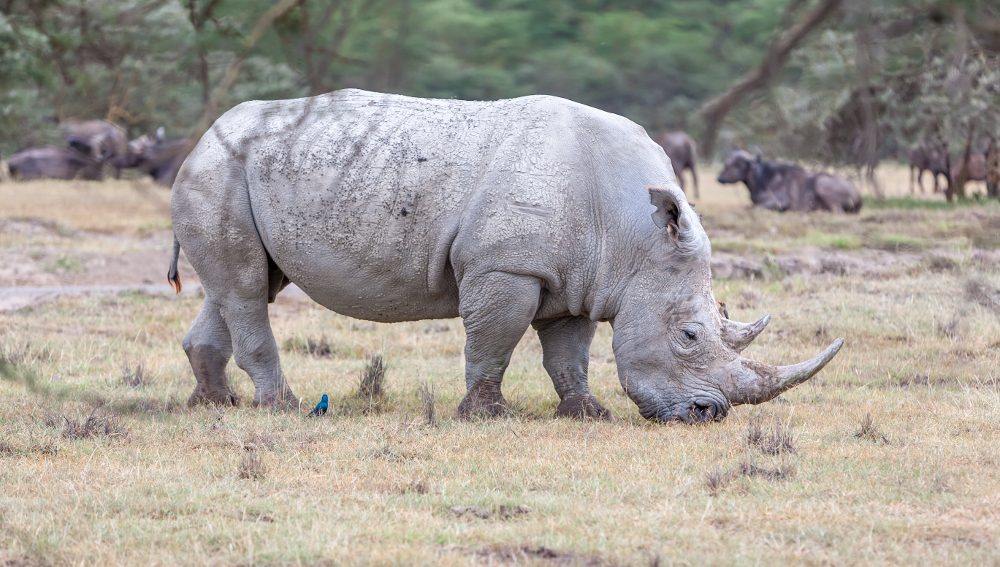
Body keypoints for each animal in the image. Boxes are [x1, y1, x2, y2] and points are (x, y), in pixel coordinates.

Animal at [168, 90, 840, 422]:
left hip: (239, 172)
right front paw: (485, 415)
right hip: (217, 170)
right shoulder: (506, 267)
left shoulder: (578, 278)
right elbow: (494, 340)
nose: (709, 414)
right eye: (690, 336)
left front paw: (586, 414)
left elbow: (568, 353)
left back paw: (216, 404)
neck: (633, 236)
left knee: (242, 286)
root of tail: (200, 137)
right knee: (247, 289)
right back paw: (280, 409)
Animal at [720, 150, 860, 214]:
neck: (763, 179)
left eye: (738, 164)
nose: (720, 178)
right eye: (727, 163)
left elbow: (755, 208)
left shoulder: (779, 201)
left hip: (821, 184)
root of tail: (856, 192)